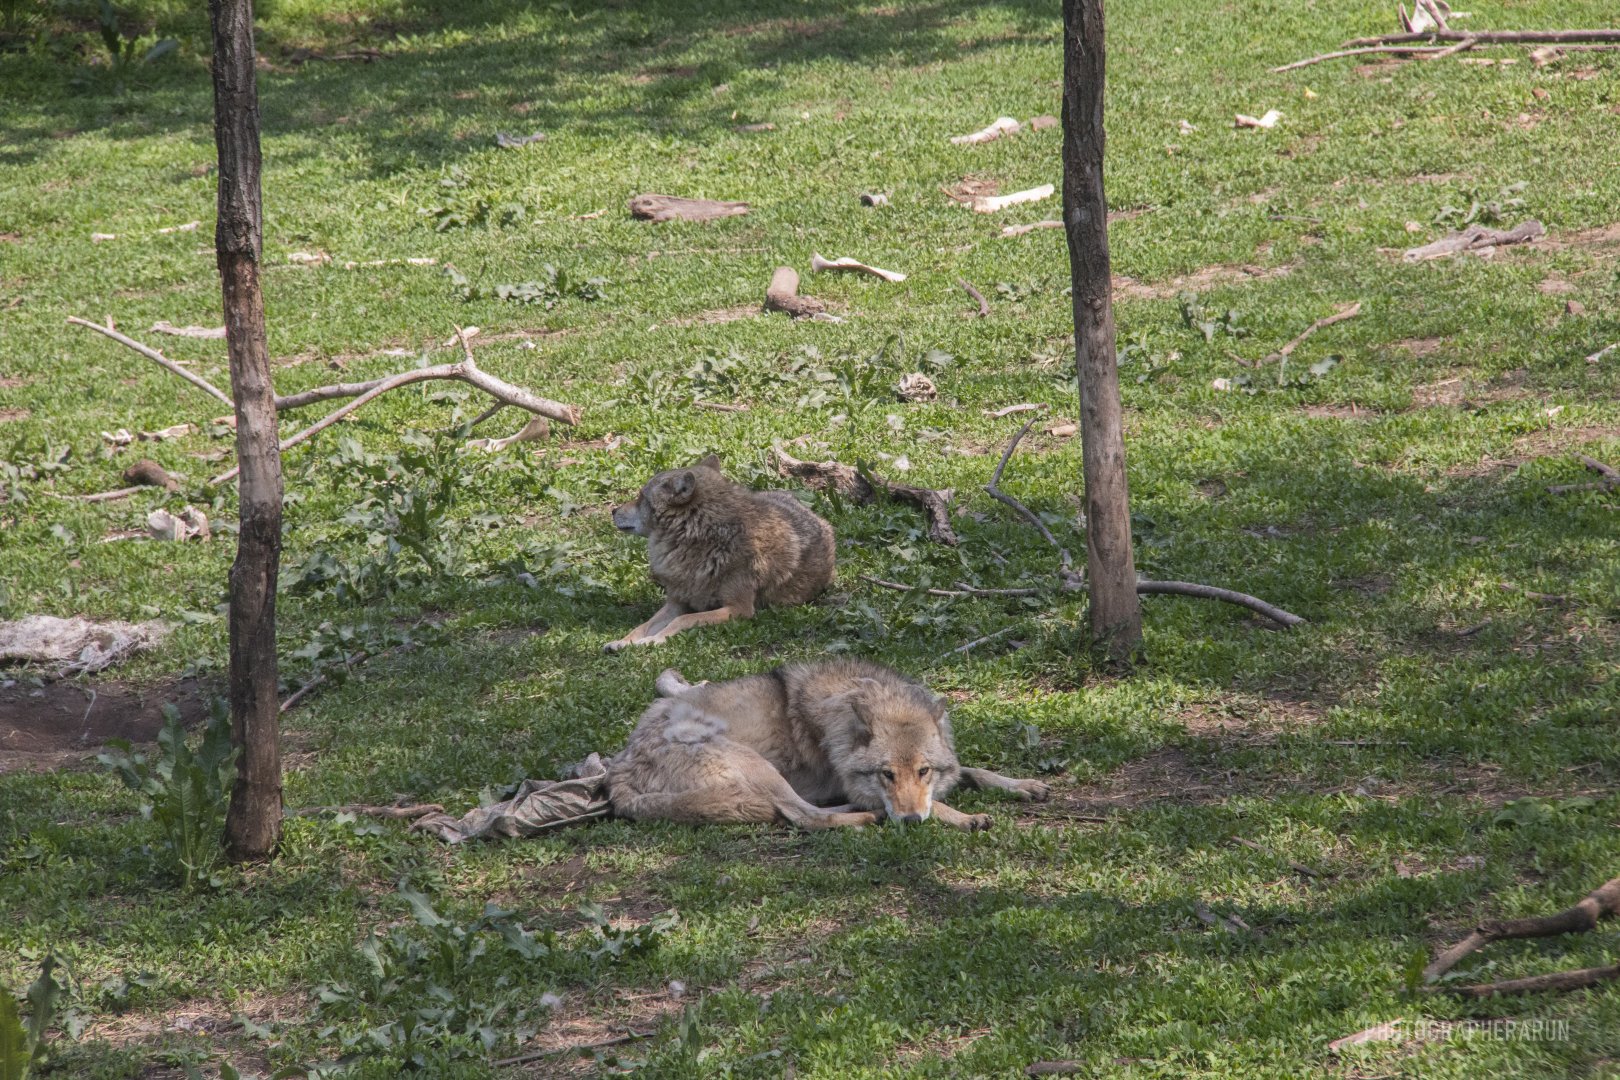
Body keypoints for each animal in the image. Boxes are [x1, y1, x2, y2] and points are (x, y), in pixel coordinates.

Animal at [605, 455, 835, 652]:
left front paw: (653, 640)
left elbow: (683, 620)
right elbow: (643, 625)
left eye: (640, 497)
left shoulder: (739, 609)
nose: (613, 511)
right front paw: (623, 642)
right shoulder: (676, 603)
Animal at [606, 659, 1050, 830]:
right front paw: (963, 816)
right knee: (803, 816)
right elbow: (934, 804)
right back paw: (864, 816)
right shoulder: (858, 785)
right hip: (756, 766)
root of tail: (620, 769)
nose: (908, 822)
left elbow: (972, 770)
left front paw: (1021, 785)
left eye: (924, 771)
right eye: (886, 775)